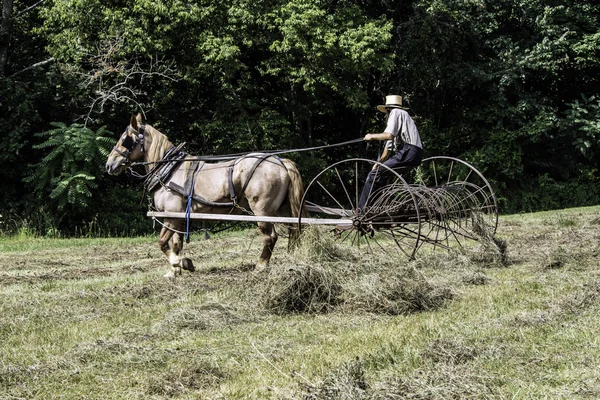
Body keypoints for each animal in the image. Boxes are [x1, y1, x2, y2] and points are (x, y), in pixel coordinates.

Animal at [103, 114, 308, 278]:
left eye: (125, 139)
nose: (109, 164)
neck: (169, 171)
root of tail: (281, 162)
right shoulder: (178, 219)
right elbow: (176, 244)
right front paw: (174, 271)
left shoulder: (171, 217)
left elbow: (162, 243)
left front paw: (180, 263)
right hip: (283, 209)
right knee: (293, 231)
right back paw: (291, 260)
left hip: (262, 210)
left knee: (270, 237)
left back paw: (260, 266)